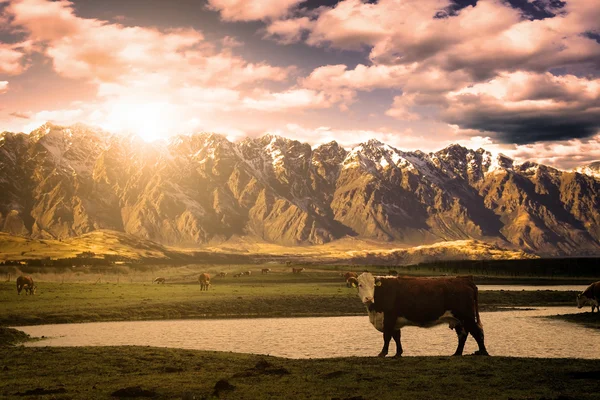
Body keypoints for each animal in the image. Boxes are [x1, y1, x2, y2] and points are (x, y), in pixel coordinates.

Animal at [356, 274, 488, 358]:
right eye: (359, 285)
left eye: (373, 285)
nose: (368, 298)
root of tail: (464, 279)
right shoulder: (395, 322)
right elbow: (396, 337)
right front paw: (398, 353)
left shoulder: (389, 317)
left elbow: (387, 336)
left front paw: (382, 353)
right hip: (457, 320)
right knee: (462, 335)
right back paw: (457, 353)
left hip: (467, 317)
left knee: (477, 332)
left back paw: (483, 352)